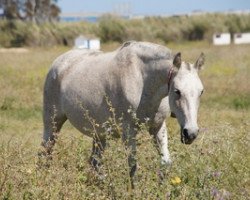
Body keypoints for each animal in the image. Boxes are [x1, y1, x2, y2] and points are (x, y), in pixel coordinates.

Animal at [42, 40, 204, 180]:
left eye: (201, 92)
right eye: (177, 91)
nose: (190, 133)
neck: (142, 79)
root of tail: (58, 63)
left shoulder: (157, 127)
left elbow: (165, 163)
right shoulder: (128, 131)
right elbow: (133, 166)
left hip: (99, 134)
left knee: (94, 163)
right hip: (52, 125)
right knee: (45, 153)